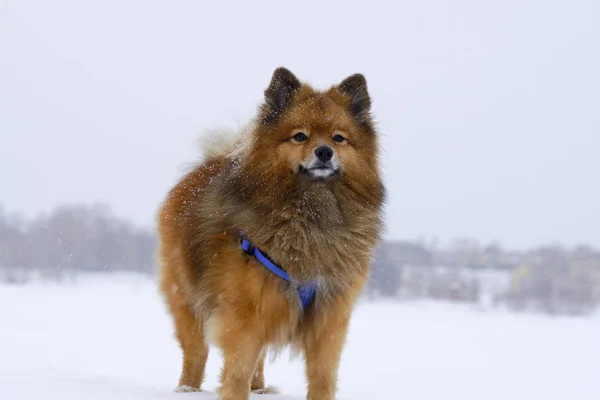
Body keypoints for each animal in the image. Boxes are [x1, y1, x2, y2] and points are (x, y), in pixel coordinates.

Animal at [157, 67, 386, 398]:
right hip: (188, 296)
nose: (324, 151)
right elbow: (237, 370)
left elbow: (322, 376)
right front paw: (235, 394)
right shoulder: (246, 313)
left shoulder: (329, 318)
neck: (310, 216)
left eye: (339, 137)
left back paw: (261, 389)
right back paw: (187, 389)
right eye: (300, 135)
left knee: (259, 357)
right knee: (196, 352)